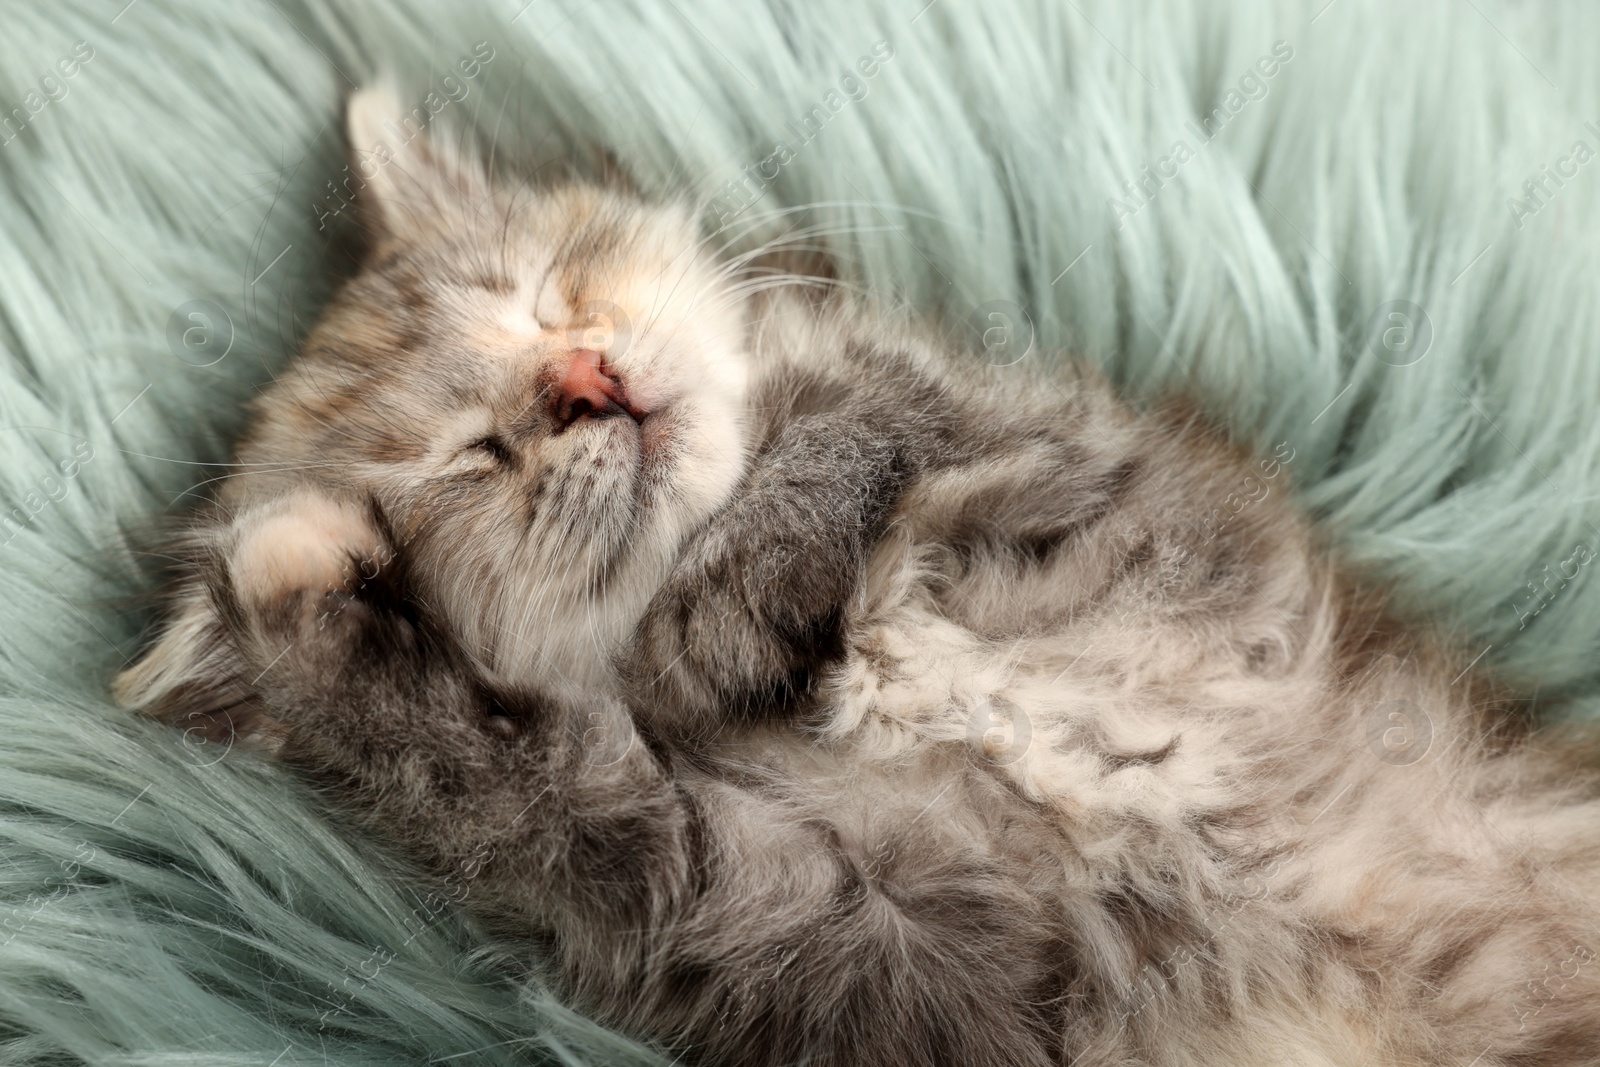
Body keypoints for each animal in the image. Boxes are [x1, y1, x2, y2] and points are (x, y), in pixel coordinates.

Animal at [116, 87, 1600, 1062]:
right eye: (470, 458)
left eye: (543, 295)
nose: (580, 381)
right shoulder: (784, 906)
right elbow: (501, 776)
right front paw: (294, 588)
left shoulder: (1064, 452)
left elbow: (856, 417)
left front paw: (730, 599)